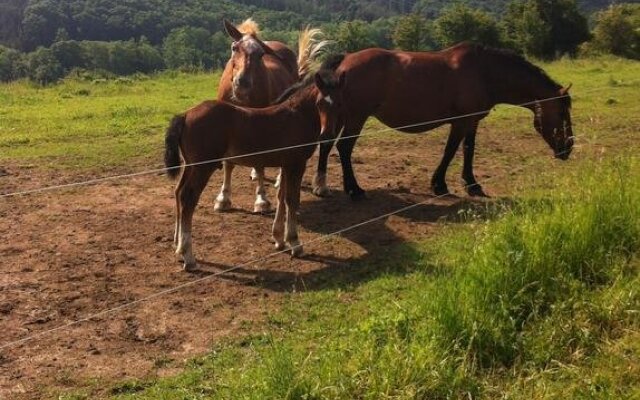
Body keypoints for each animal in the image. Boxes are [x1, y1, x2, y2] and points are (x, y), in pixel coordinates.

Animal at [165, 67, 344, 270]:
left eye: (339, 103)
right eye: (320, 103)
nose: (327, 136)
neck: (296, 116)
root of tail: (185, 115)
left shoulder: (286, 164)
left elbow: (281, 197)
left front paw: (279, 239)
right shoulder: (297, 164)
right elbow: (292, 200)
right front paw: (295, 243)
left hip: (190, 165)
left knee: (178, 192)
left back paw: (178, 246)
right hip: (203, 168)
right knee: (188, 198)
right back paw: (188, 256)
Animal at [314, 43, 576, 199]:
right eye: (562, 113)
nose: (568, 147)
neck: (484, 72)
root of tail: (346, 59)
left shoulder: (472, 121)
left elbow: (469, 149)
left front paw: (471, 184)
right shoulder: (459, 122)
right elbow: (450, 151)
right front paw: (439, 184)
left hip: (339, 116)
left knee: (327, 144)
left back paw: (322, 185)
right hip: (356, 118)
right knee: (344, 147)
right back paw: (354, 189)